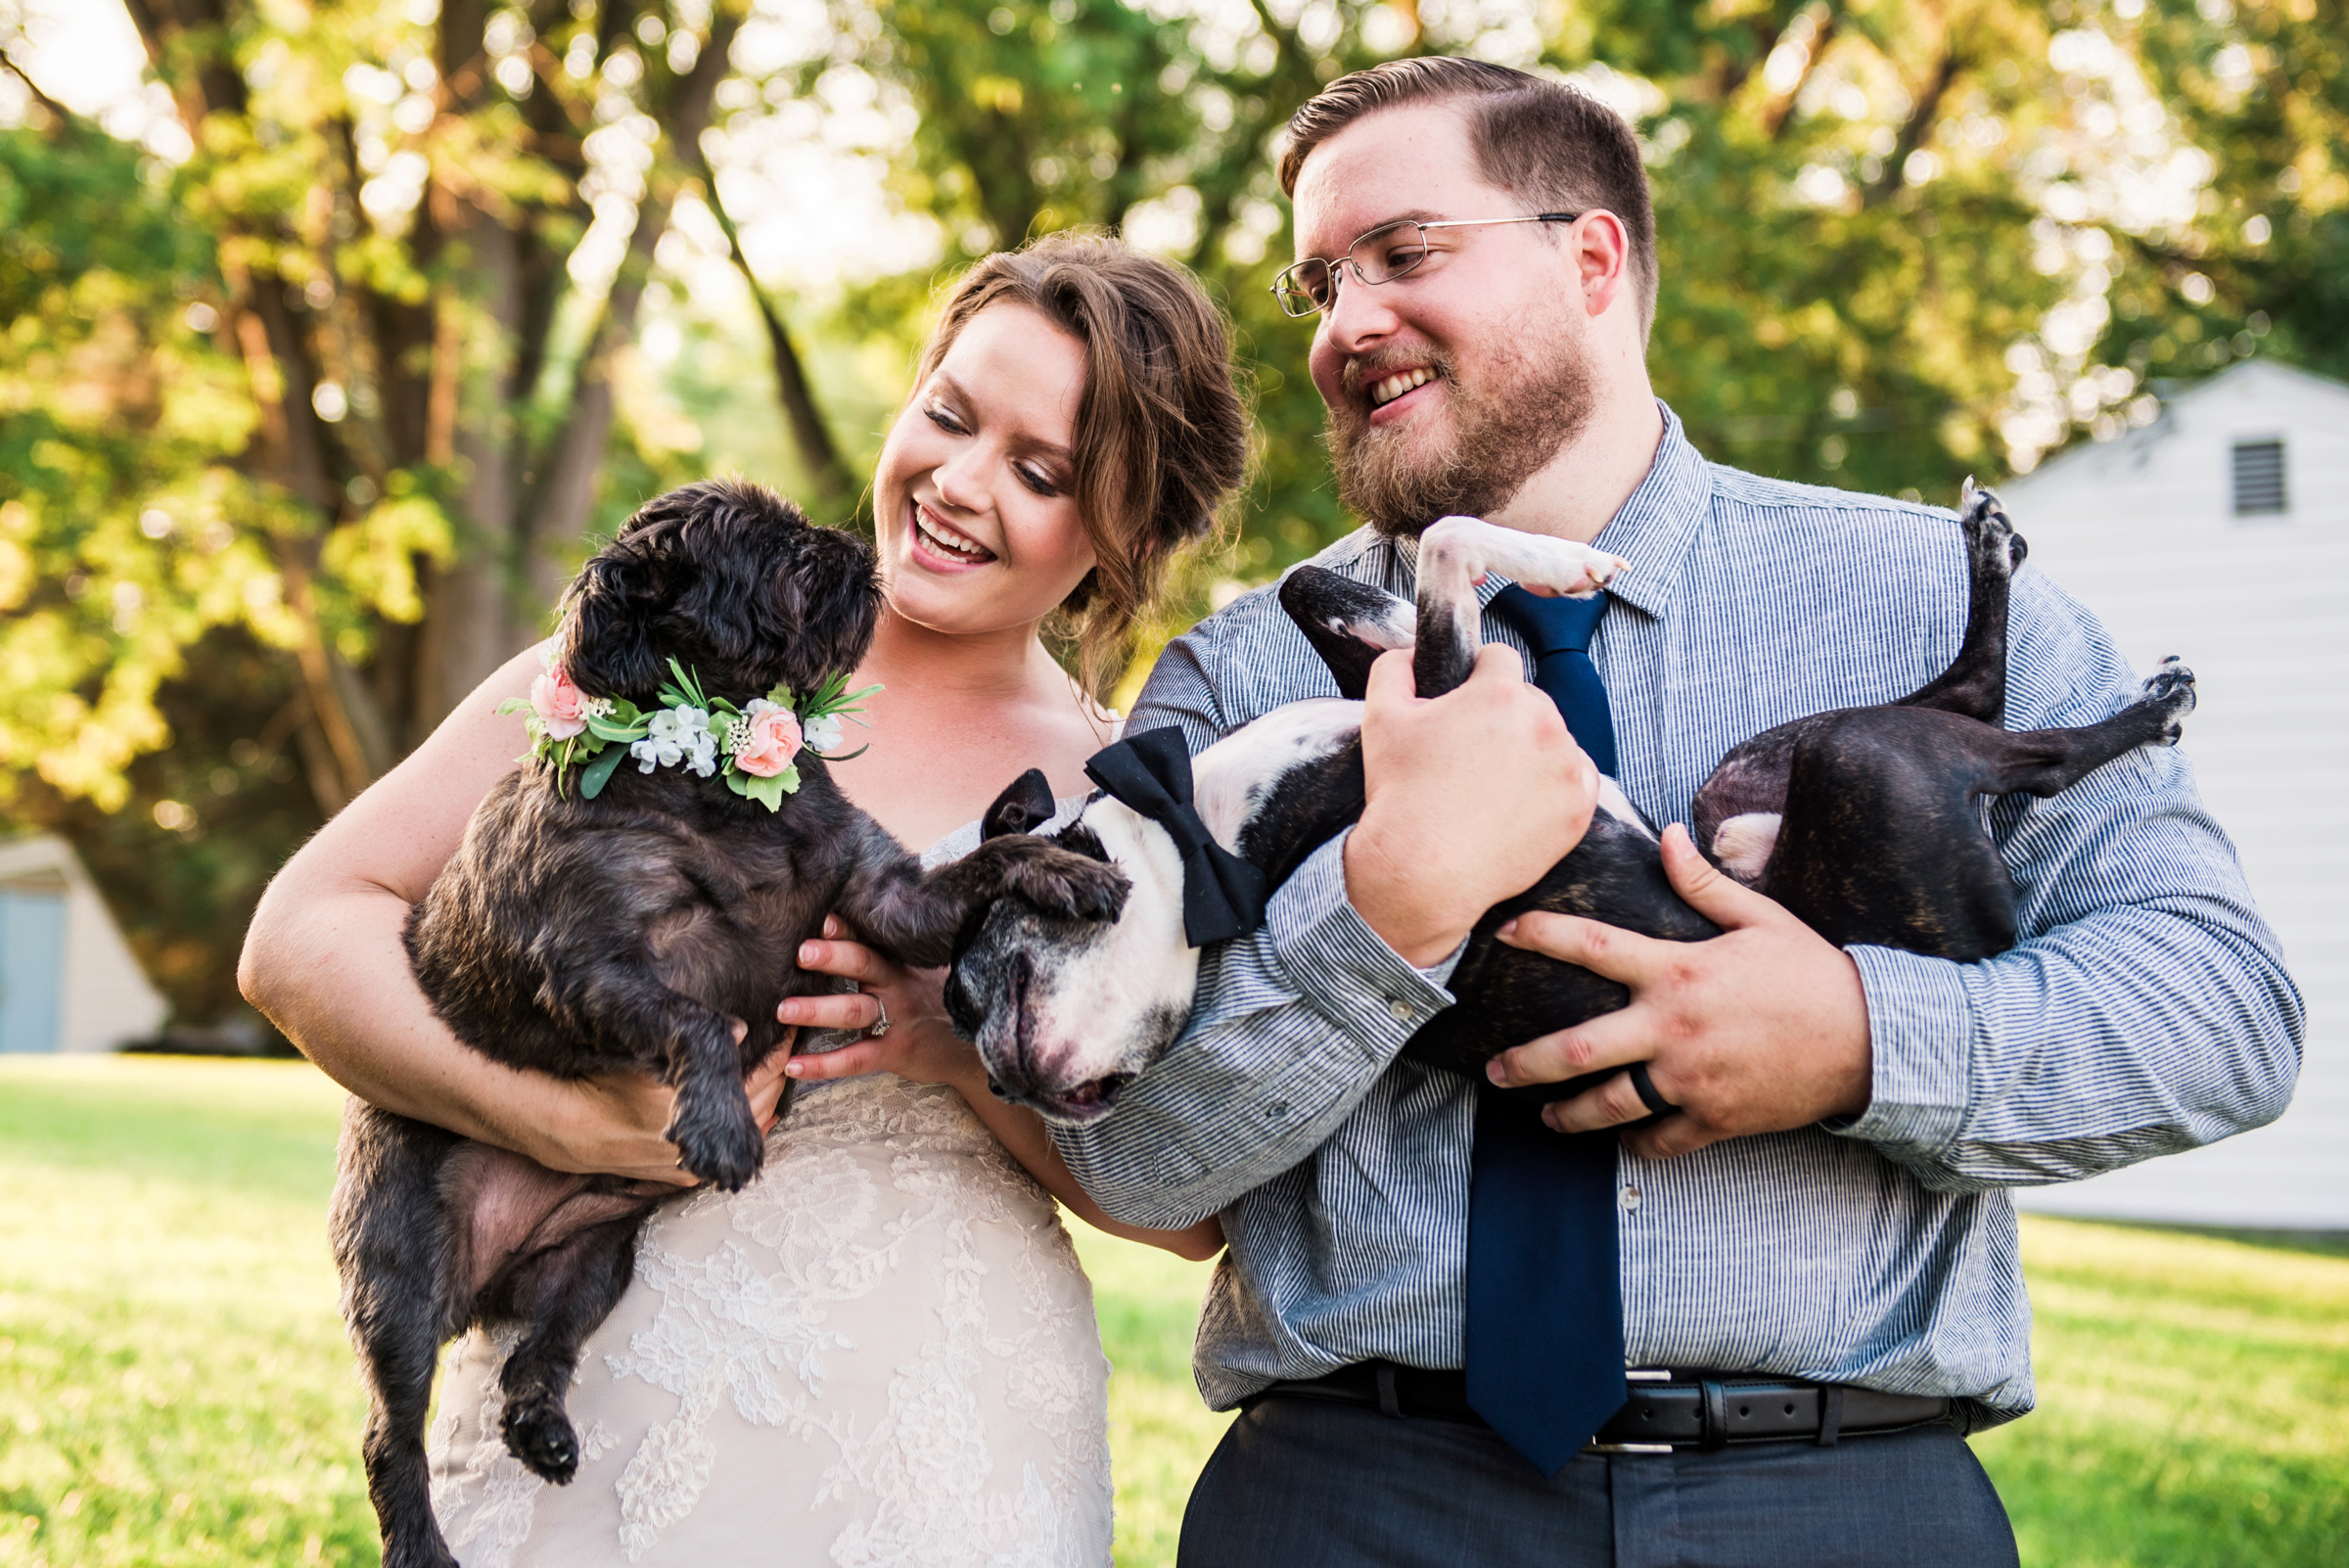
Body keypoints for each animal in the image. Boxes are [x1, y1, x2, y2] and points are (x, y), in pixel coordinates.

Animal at [336, 479, 1131, 1568]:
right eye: (774, 553)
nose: (848, 546)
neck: (719, 780)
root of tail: (482, 1283)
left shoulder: (882, 897)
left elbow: (977, 870)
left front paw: (1057, 867)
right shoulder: (591, 965)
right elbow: (698, 1021)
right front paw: (720, 1123)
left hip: (596, 1263)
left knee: (538, 1355)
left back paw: (542, 1428)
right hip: (404, 1272)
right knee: (389, 1433)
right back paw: (421, 1543)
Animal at [944, 485, 2188, 1112]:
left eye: (995, 986)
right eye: (977, 1021)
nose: (1014, 1089)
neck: (1204, 824)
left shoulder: (1420, 675)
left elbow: (1321, 582)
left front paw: (1543, 562)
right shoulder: (1449, 704)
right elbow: (1445, 543)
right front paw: (1563, 562)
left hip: (1745, 782)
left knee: (1973, 696)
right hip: (1869, 767)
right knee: (2017, 741)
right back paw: (2140, 707)